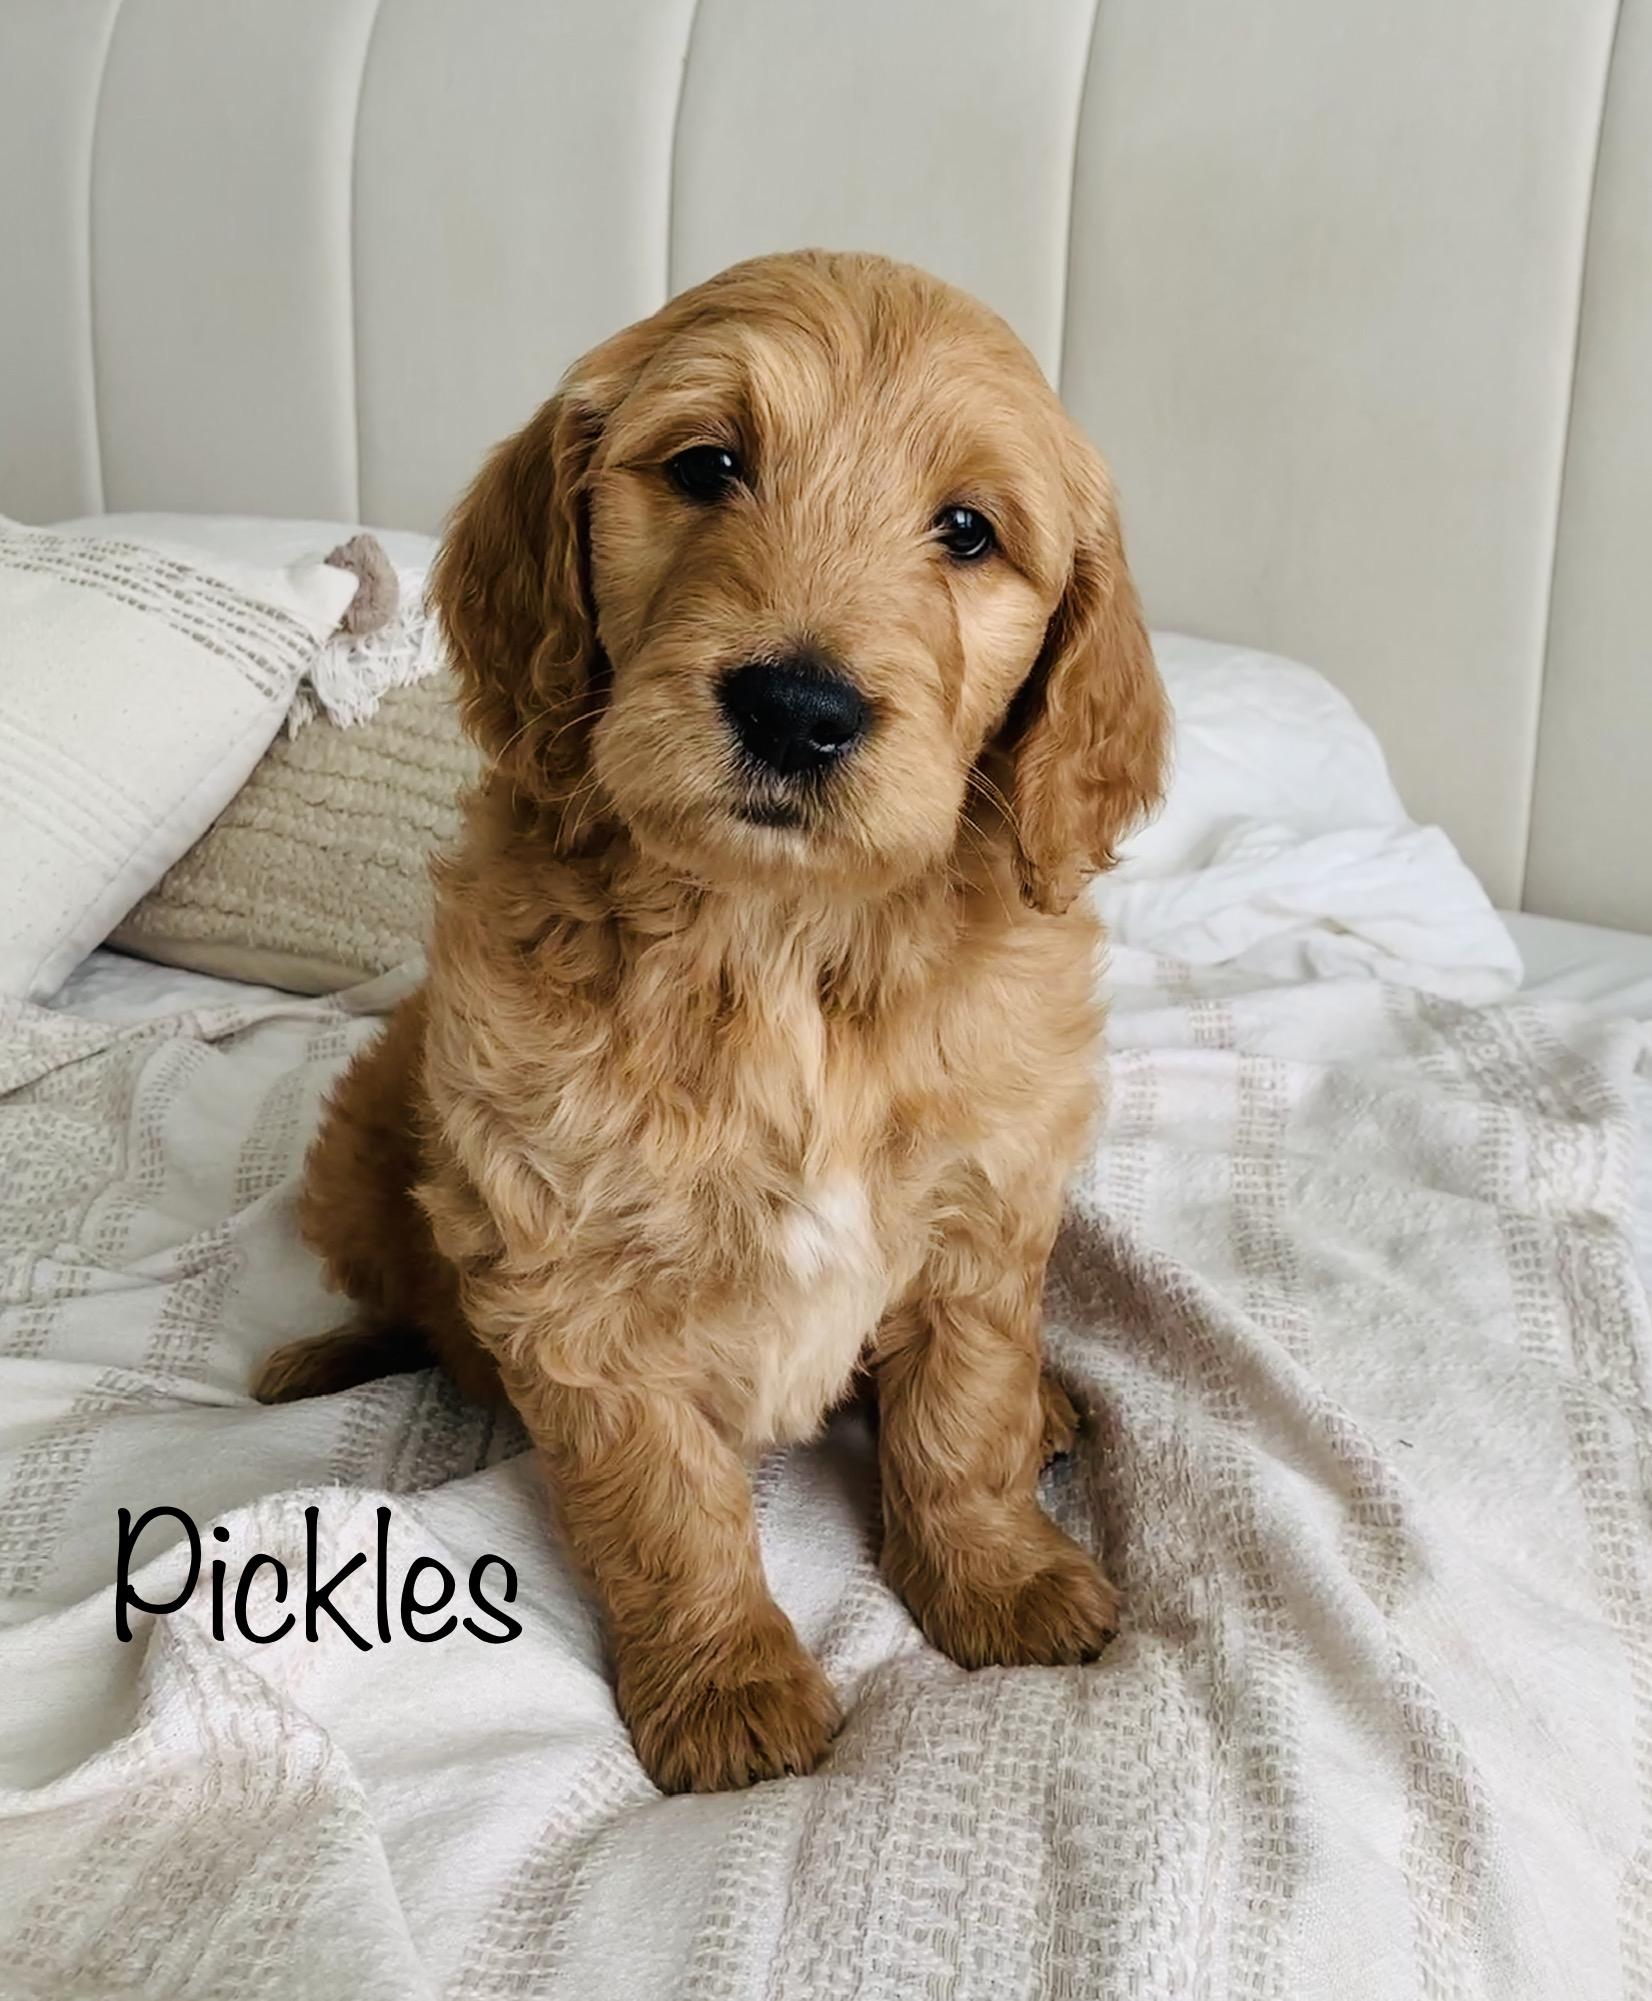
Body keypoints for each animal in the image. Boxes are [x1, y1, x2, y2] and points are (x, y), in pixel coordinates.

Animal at [255, 250, 1169, 1793]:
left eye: (969, 532)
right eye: (706, 466)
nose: (797, 708)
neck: (780, 947)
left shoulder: (988, 1201)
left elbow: (961, 1410)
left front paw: (997, 1578)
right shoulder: (563, 1262)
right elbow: (661, 1504)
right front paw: (729, 1688)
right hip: (363, 1135)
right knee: (394, 1292)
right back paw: (326, 1359)